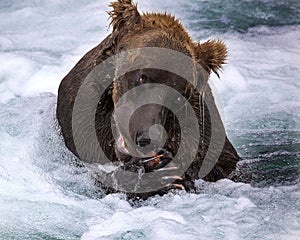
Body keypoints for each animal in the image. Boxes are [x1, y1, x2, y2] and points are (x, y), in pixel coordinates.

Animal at [55, 0, 239, 199]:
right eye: (143, 77)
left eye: (180, 94)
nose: (148, 137)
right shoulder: (84, 120)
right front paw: (163, 177)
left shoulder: (202, 130)